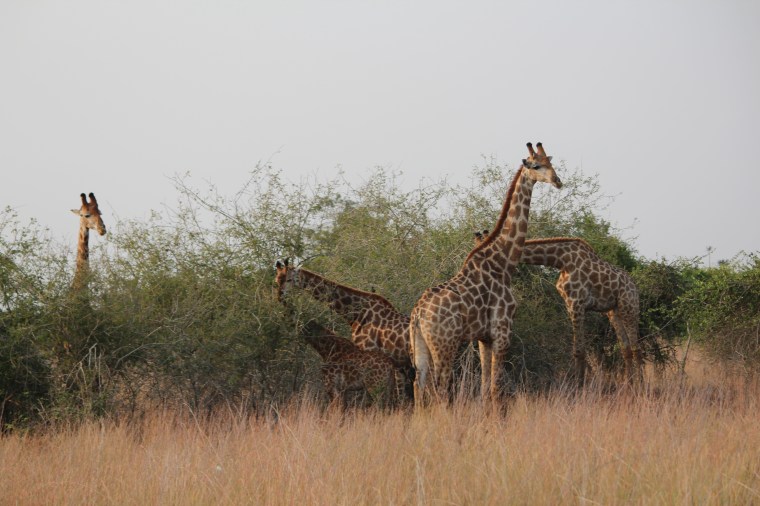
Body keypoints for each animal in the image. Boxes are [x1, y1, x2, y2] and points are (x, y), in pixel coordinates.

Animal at [410, 142, 562, 406]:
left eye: (550, 163)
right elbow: (495, 389)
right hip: (445, 345)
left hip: (419, 344)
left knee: (418, 386)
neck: (504, 262)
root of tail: (418, 314)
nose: (557, 180)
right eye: (535, 165)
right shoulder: (502, 331)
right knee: (439, 390)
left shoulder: (484, 337)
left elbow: (485, 388)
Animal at [475, 231, 643, 385]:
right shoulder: (570, 304)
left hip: (629, 306)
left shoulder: (577, 303)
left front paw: (579, 387)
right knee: (626, 348)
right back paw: (629, 385)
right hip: (614, 311)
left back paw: (639, 385)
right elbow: (579, 349)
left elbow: (579, 350)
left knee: (636, 347)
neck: (560, 260)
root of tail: (634, 286)